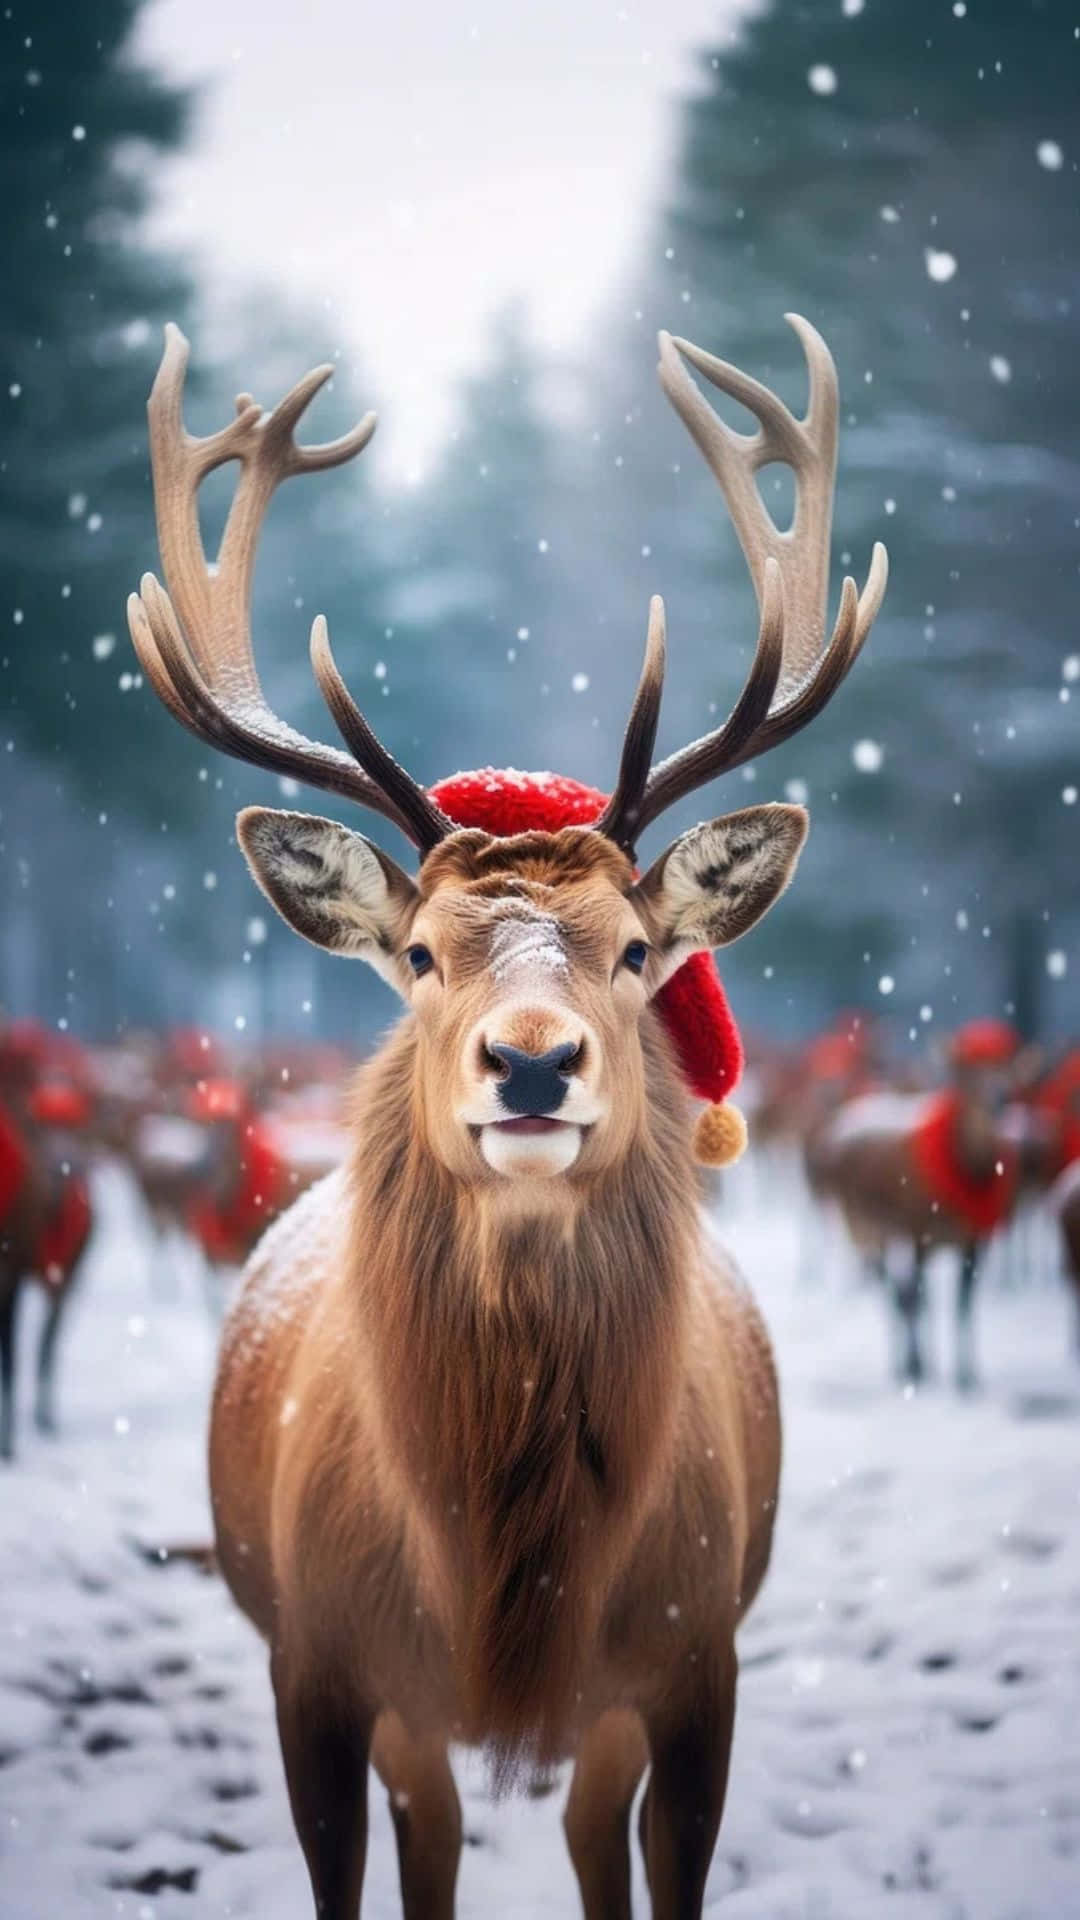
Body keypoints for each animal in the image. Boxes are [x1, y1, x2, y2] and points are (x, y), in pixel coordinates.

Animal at [125, 313, 886, 1919]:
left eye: (639, 948)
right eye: (419, 953)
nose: (531, 1064)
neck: (505, 1576)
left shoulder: (696, 1655)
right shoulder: (318, 1662)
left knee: (587, 1839)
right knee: (438, 1839)